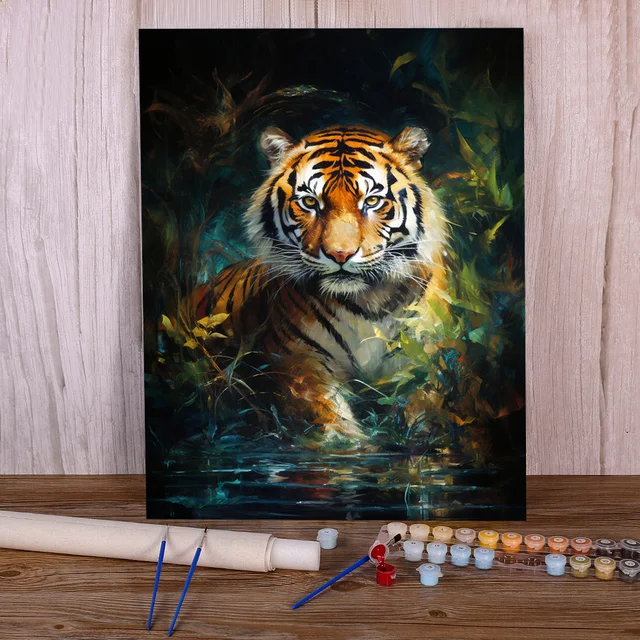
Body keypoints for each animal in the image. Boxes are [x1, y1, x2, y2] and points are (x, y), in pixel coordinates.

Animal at [187, 124, 448, 445]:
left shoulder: (423, 358)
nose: (340, 254)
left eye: (372, 201)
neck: (368, 300)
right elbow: (333, 425)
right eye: (310, 202)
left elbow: (422, 412)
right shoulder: (299, 364)